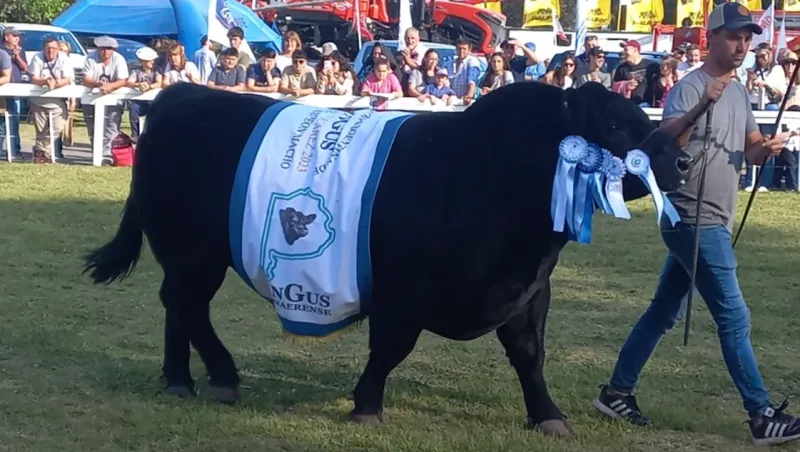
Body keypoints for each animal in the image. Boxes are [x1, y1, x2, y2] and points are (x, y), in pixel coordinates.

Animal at [84, 82, 692, 438]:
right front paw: (367, 405)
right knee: (185, 305)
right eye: (613, 125)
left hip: (187, 256)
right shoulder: (403, 289)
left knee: (177, 307)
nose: (683, 160)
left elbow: (529, 356)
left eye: (642, 113)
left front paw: (549, 417)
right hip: (195, 251)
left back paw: (179, 380)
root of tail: (183, 93)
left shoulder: (530, 290)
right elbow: (390, 349)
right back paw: (223, 377)